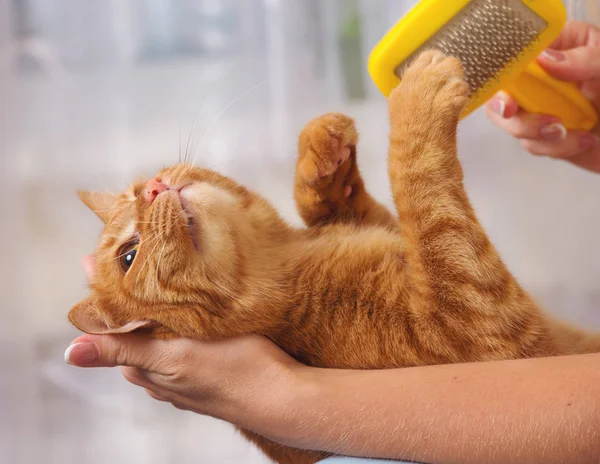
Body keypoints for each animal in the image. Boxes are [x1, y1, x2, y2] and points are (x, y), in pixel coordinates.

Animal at [68, 51, 596, 464]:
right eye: (129, 255)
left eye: (140, 187)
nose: (154, 189)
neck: (286, 262)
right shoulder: (474, 330)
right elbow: (419, 184)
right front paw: (416, 94)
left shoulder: (380, 227)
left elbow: (335, 203)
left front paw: (322, 154)